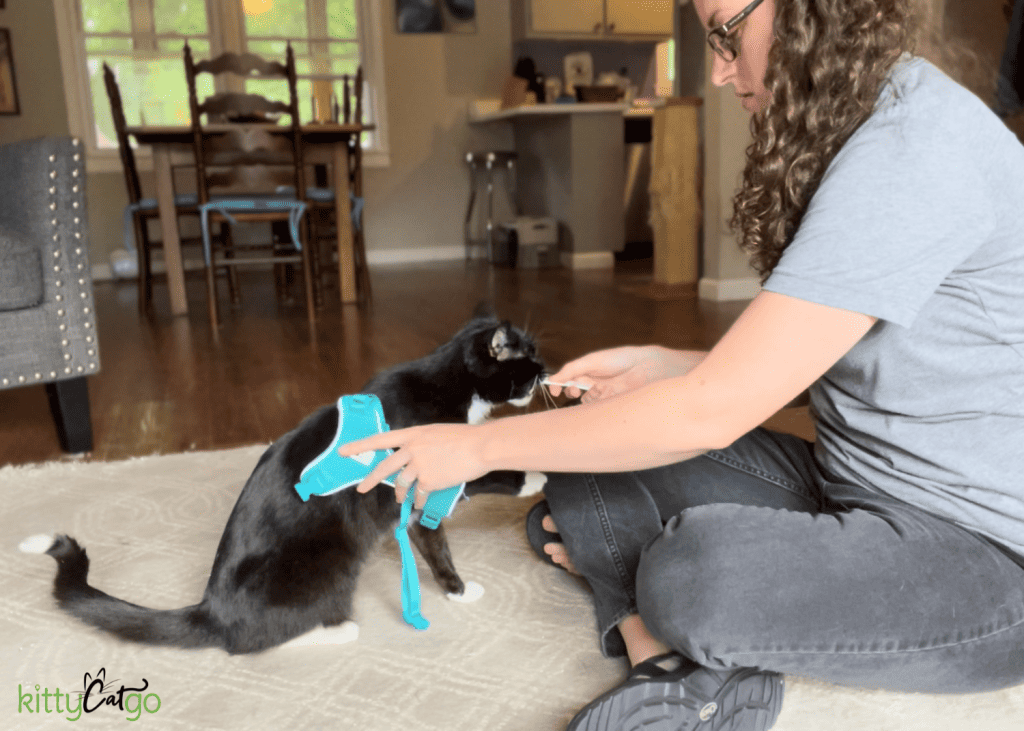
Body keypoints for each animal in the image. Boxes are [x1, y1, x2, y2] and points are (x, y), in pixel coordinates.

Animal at [22, 305, 544, 651]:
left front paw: (456, 590)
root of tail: (211, 610)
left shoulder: (414, 502)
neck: (452, 386)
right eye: (530, 360)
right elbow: (486, 472)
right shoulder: (433, 467)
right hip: (331, 563)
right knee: (251, 641)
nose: (546, 370)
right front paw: (536, 475)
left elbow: (435, 547)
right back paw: (338, 629)